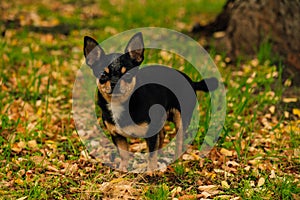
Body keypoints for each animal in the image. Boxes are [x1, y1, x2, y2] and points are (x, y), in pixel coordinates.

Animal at [82, 32, 218, 171]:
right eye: (103, 75)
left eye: (128, 75)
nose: (115, 82)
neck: (121, 103)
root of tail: (191, 81)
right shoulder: (117, 135)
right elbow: (124, 154)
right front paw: (123, 169)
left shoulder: (151, 133)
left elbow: (151, 155)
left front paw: (151, 171)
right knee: (162, 134)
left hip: (180, 119)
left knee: (179, 141)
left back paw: (176, 161)